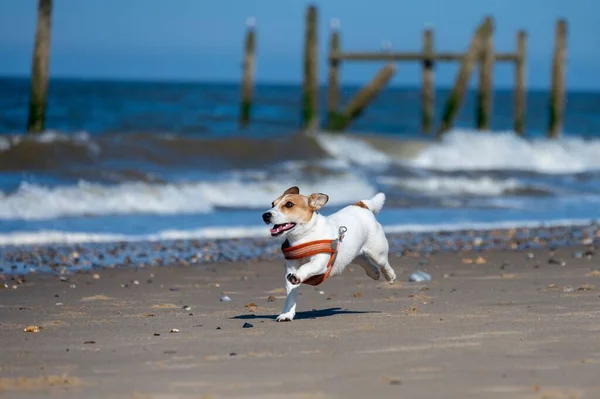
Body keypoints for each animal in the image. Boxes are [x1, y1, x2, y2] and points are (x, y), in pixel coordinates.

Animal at [262, 187, 394, 322]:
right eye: (272, 204)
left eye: (289, 204)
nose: (265, 215)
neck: (304, 237)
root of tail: (361, 205)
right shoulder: (291, 268)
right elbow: (290, 295)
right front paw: (287, 314)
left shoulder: (319, 263)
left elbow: (305, 267)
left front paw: (297, 276)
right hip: (350, 254)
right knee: (363, 259)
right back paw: (374, 272)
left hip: (377, 252)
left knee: (383, 263)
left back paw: (389, 276)